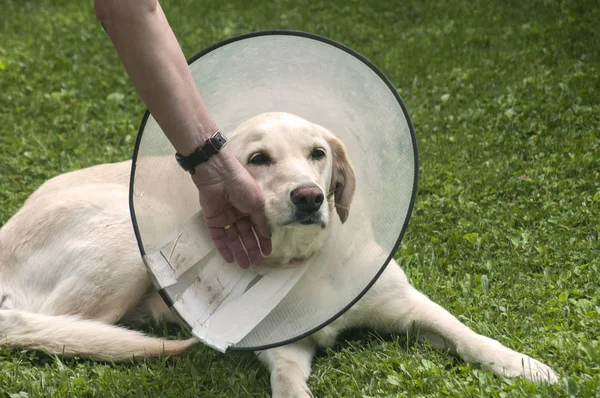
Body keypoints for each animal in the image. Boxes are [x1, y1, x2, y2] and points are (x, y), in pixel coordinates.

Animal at [0, 112, 556, 394]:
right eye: (258, 159)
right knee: (60, 324)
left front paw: (526, 366)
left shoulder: (407, 306)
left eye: (318, 154)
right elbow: (289, 387)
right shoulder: (283, 352)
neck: (302, 262)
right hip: (126, 236)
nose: (309, 197)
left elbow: (468, 335)